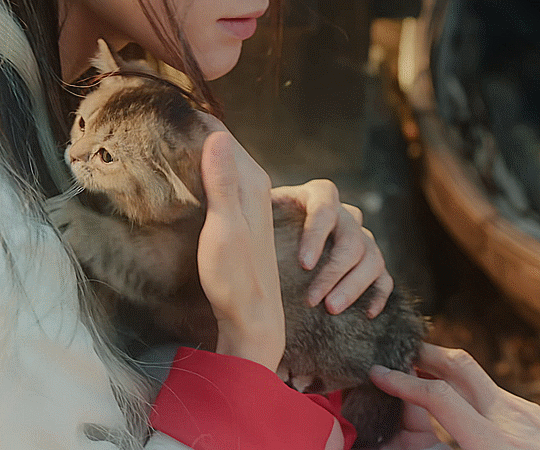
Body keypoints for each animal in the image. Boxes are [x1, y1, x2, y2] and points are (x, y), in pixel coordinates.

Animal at [49, 39, 427, 449]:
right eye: (82, 123)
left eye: (107, 156)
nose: (72, 154)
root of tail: (401, 330)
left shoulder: (163, 263)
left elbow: (116, 245)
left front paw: (75, 218)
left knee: (361, 376)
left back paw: (303, 375)